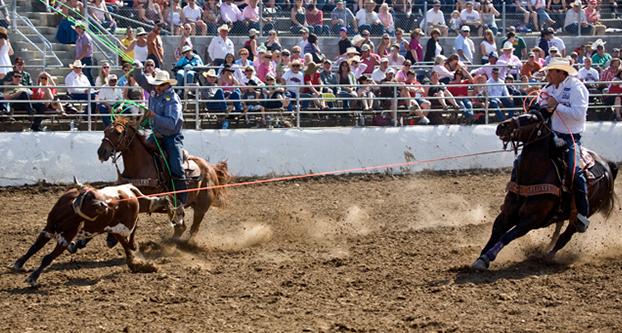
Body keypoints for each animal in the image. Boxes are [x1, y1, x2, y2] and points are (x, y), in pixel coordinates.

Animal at [12, 182, 172, 286]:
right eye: (89, 197)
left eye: (99, 196)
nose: (105, 205)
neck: (68, 214)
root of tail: (128, 189)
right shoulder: (48, 229)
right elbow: (33, 248)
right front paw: (18, 263)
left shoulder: (65, 239)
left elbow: (47, 258)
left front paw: (33, 278)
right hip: (117, 228)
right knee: (126, 241)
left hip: (124, 226)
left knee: (133, 230)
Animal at [96, 118, 233, 240]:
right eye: (105, 131)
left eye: (118, 132)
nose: (101, 152)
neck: (141, 166)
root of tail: (211, 168)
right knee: (181, 227)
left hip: (201, 207)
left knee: (193, 229)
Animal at [478, 111, 620, 270]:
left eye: (531, 118)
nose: (501, 126)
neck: (533, 174)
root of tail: (607, 164)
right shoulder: (507, 213)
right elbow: (496, 232)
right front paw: (481, 258)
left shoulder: (532, 219)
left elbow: (507, 236)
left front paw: (488, 256)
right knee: (558, 229)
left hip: (585, 213)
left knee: (566, 236)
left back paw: (548, 256)